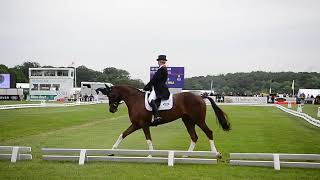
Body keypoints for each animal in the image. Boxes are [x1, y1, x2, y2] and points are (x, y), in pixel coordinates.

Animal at [96, 85, 231, 157]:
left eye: (111, 95)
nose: (112, 110)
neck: (135, 100)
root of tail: (200, 96)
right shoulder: (135, 125)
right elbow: (123, 134)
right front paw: (112, 151)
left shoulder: (144, 125)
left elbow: (148, 140)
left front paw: (151, 154)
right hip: (188, 121)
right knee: (194, 137)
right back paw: (187, 155)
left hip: (199, 120)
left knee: (209, 132)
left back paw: (215, 154)